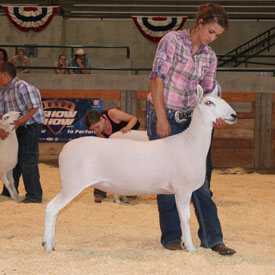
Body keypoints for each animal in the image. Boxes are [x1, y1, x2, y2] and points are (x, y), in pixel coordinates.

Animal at [43, 85, 237, 252]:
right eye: (208, 102)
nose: (234, 115)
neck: (191, 143)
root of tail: (65, 149)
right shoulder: (183, 189)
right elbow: (186, 219)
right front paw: (190, 248)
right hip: (72, 184)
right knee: (52, 208)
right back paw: (48, 245)